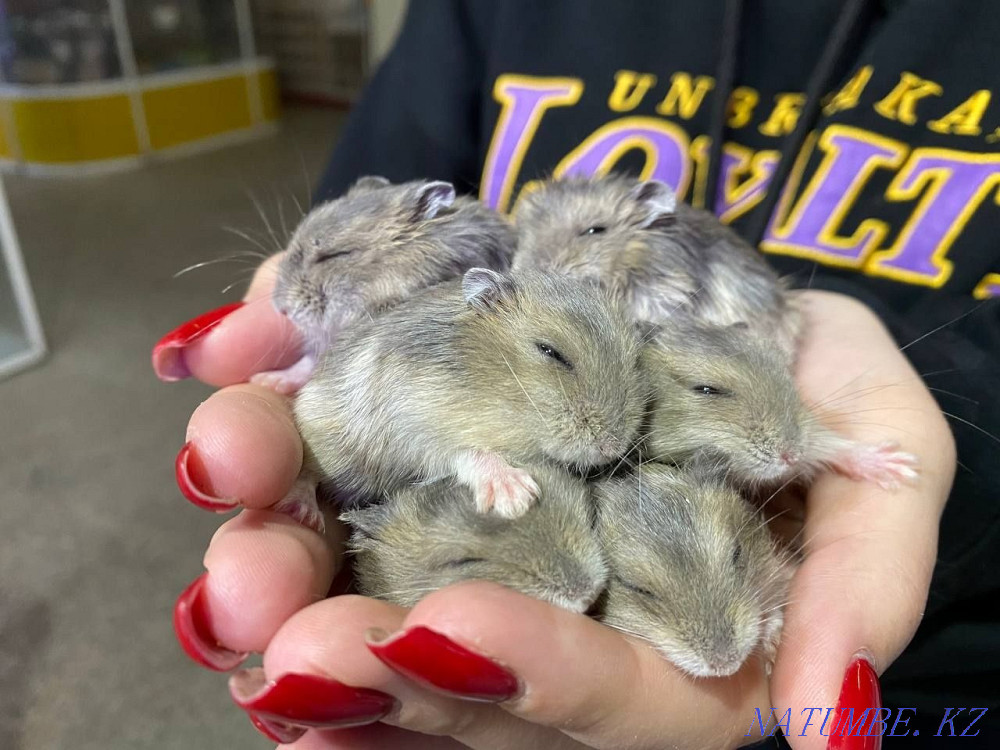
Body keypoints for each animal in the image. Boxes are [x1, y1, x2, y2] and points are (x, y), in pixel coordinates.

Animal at [292, 267, 645, 524]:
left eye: (635, 361)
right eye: (550, 352)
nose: (612, 449)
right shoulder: (411, 424)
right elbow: (468, 452)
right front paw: (517, 499)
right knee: (306, 475)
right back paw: (305, 514)